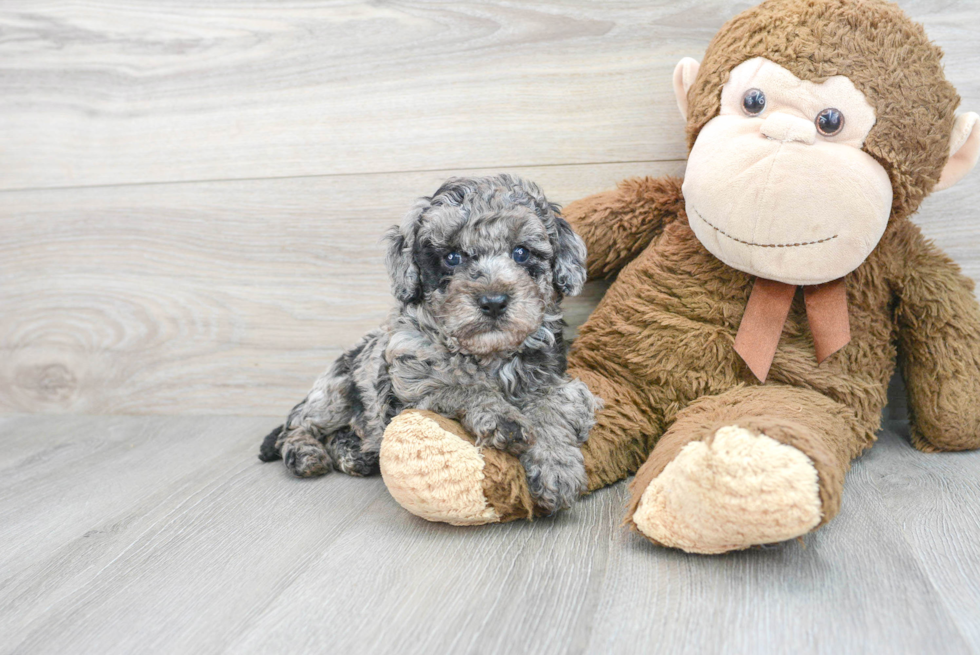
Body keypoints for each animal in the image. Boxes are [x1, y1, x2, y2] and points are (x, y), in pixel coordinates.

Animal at [256, 177, 600, 516]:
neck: (488, 354)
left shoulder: (562, 382)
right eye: (452, 257)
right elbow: (460, 387)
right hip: (335, 393)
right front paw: (504, 419)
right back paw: (306, 454)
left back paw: (355, 454)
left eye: (521, 253)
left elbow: (550, 407)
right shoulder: (409, 389)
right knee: (296, 427)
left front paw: (556, 467)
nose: (493, 301)